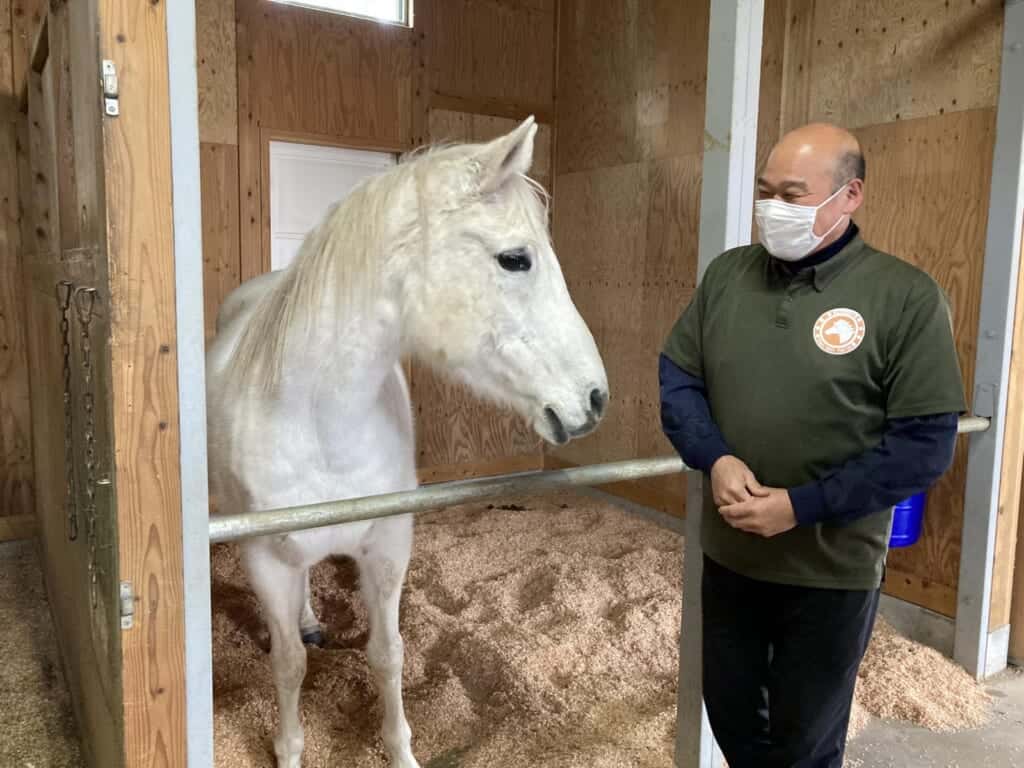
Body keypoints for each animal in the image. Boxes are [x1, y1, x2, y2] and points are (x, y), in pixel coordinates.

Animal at [205, 116, 609, 768]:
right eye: (515, 259)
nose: (595, 398)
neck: (322, 427)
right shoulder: (266, 556)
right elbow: (289, 664)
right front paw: (289, 749)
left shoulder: (389, 545)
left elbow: (388, 655)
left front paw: (400, 751)